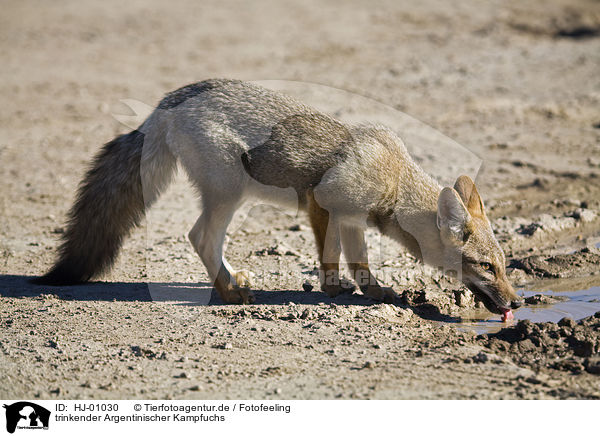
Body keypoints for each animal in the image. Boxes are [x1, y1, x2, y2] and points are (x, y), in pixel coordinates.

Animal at [34, 78, 520, 318]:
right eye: (486, 267)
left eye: (504, 266)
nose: (518, 302)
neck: (395, 179)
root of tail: (165, 105)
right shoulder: (324, 202)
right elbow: (338, 257)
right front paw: (345, 290)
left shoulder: (345, 217)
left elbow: (353, 258)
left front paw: (365, 290)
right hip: (229, 195)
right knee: (199, 237)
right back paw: (229, 293)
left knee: (206, 240)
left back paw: (232, 281)